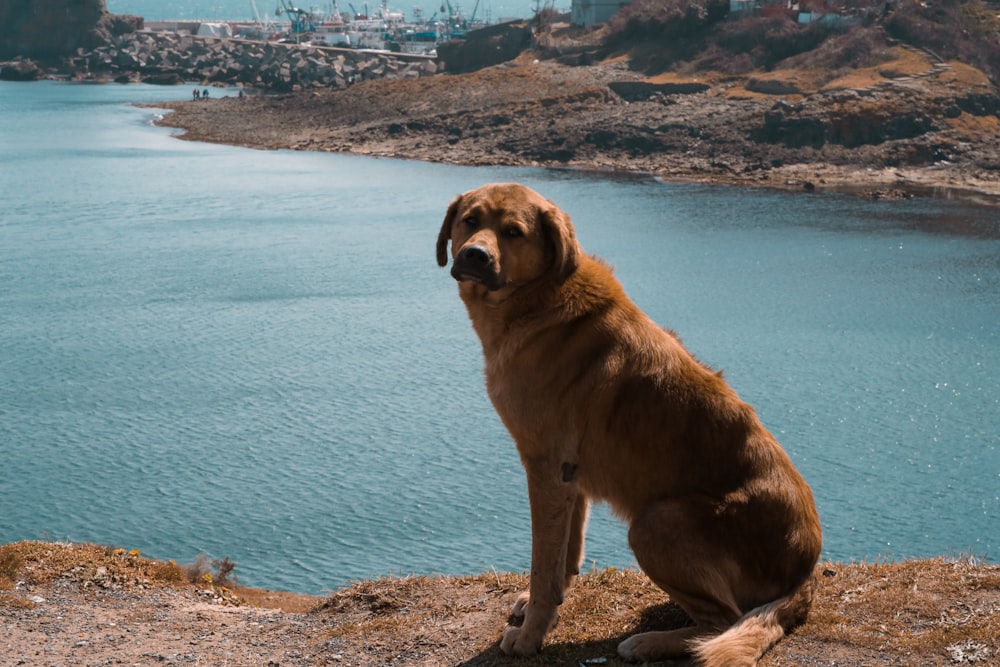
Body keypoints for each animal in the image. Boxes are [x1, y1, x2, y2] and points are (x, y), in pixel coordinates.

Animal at [436, 183, 820, 667]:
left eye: (513, 232)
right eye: (470, 220)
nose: (475, 255)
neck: (539, 300)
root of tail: (804, 575)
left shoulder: (545, 466)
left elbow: (544, 562)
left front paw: (530, 635)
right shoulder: (569, 476)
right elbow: (564, 556)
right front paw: (548, 606)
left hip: (655, 523)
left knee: (723, 621)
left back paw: (651, 642)